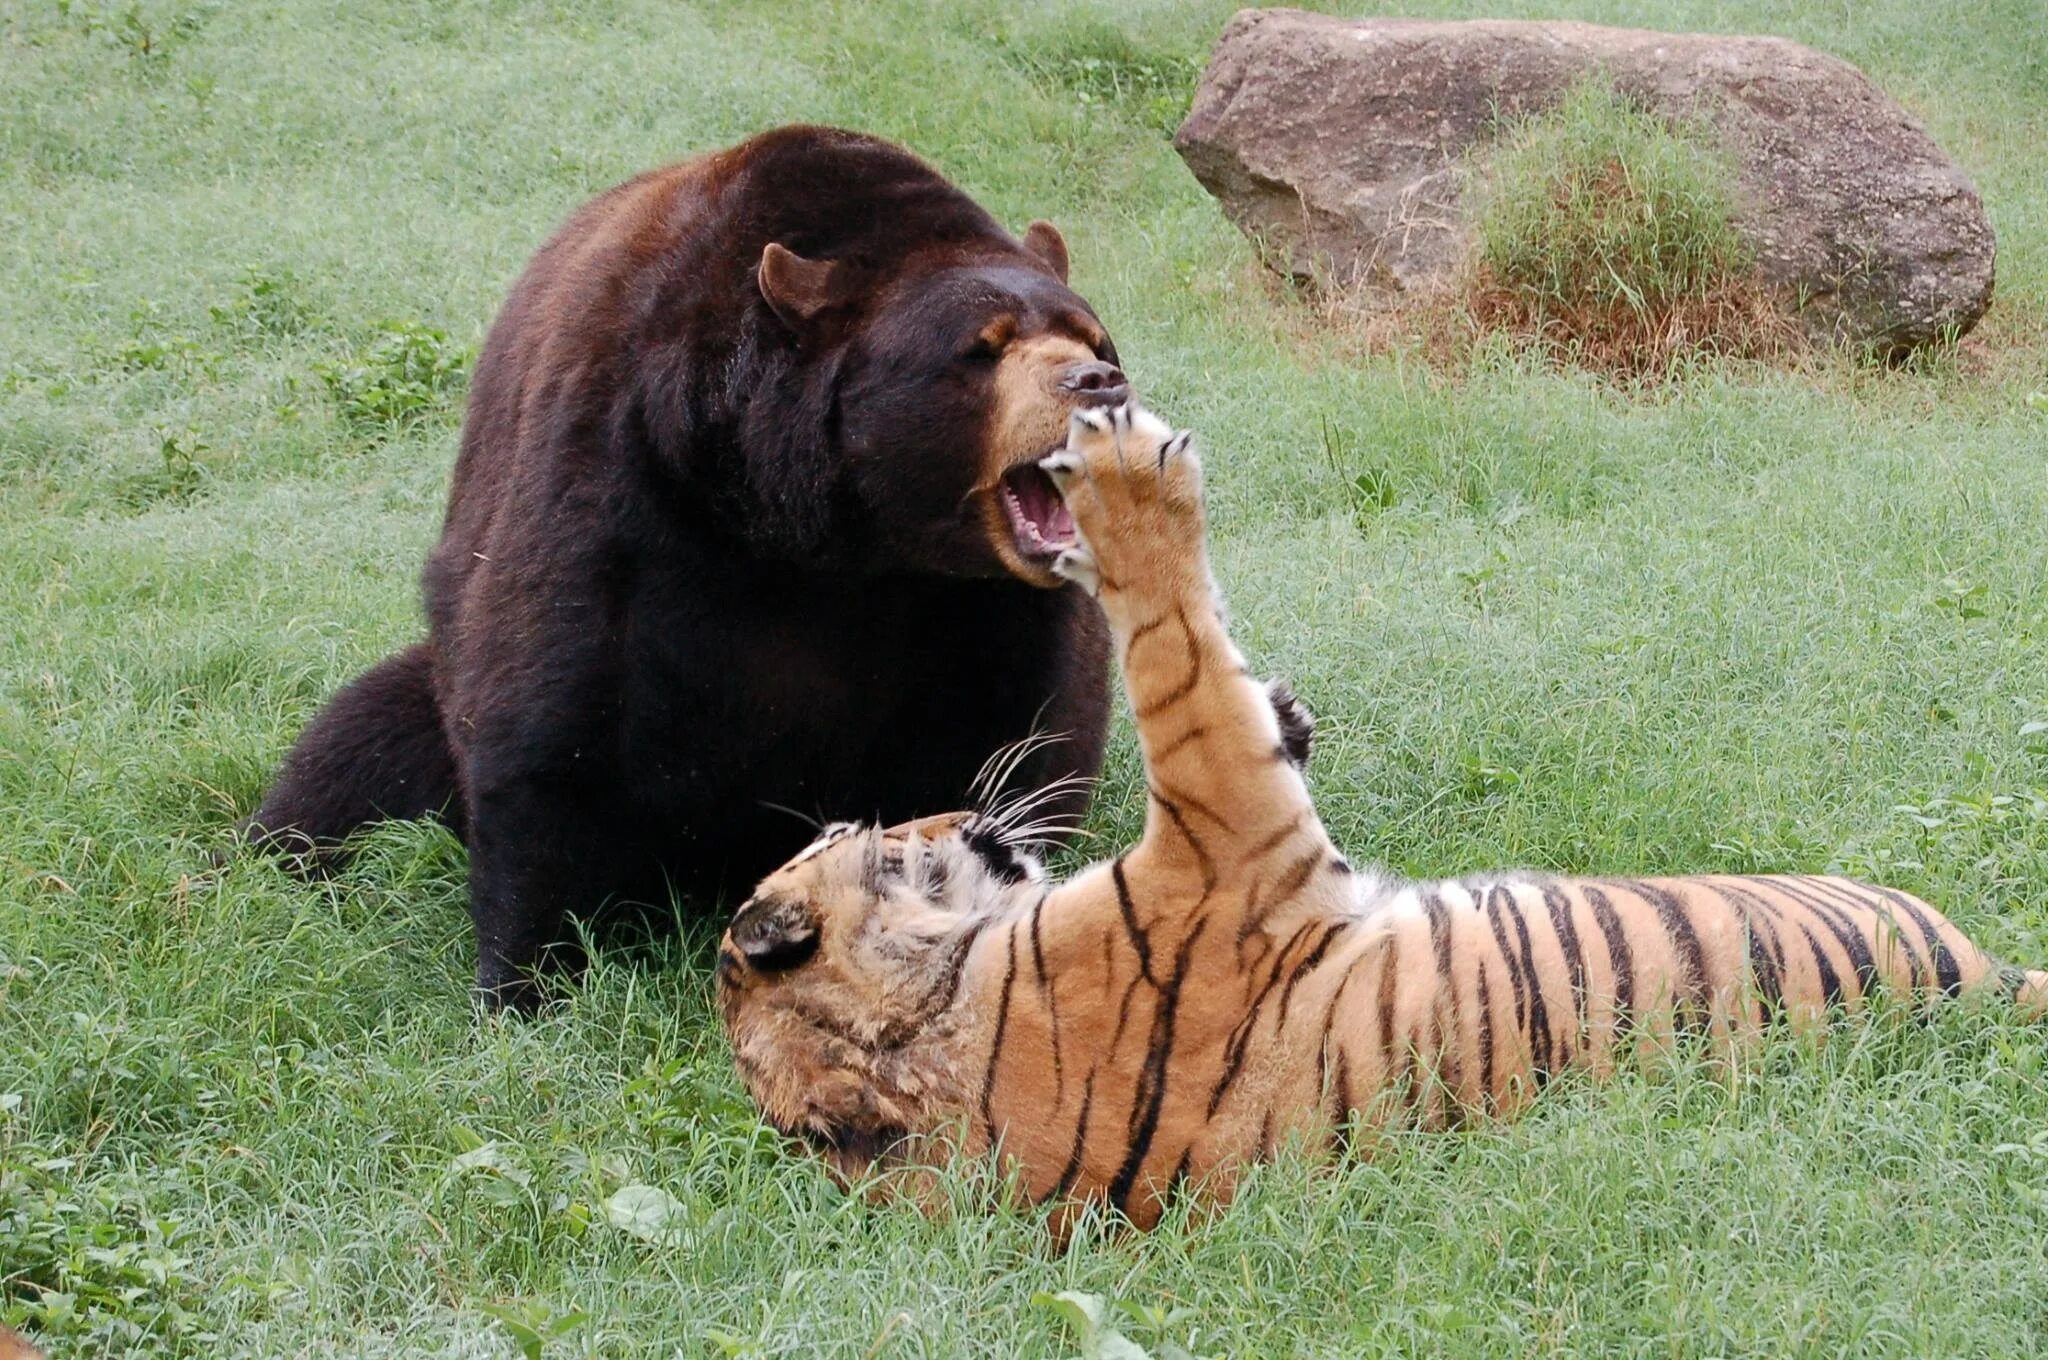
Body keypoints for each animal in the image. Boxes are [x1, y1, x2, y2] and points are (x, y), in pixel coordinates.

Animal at [251, 127, 1138, 1003]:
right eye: (983, 347)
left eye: (1092, 337)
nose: (1099, 382)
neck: (827, 533)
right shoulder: (620, 485)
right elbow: (546, 719)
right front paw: (524, 979)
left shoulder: (989, 604)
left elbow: (1017, 735)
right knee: (352, 753)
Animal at [712, 399, 2039, 1228]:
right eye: (862, 837)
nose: (950, 812)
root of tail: (1984, 981)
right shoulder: (1217, 822)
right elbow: (1174, 658)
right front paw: (1124, 482)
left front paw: (1288, 702)